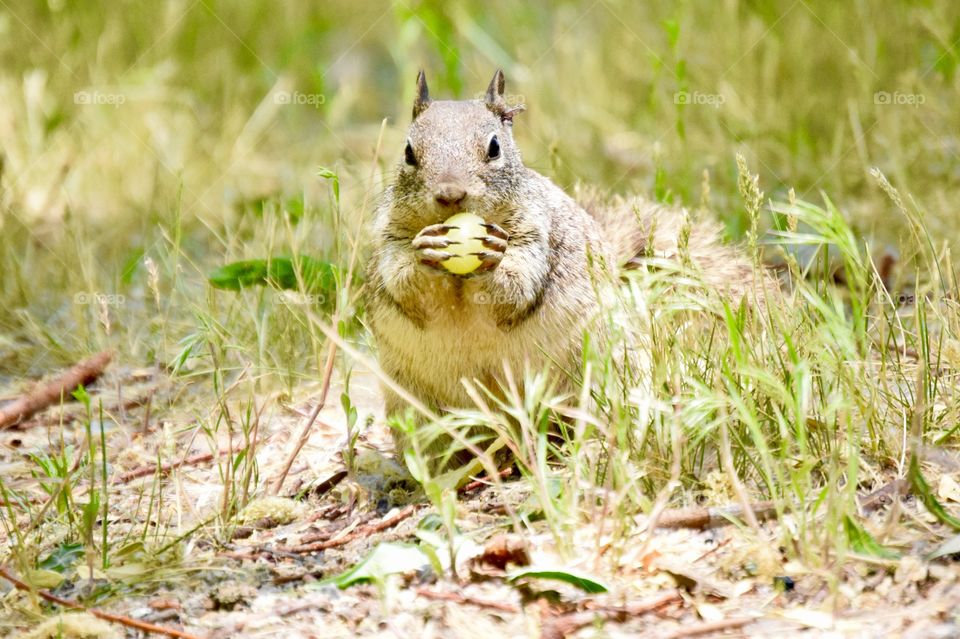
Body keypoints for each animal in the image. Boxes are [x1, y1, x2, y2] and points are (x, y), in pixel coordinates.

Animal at [366, 70, 762, 461]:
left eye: (494, 147)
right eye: (408, 152)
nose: (450, 194)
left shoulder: (537, 236)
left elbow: (516, 286)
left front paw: (494, 257)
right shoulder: (390, 241)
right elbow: (403, 284)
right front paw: (425, 251)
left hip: (602, 377)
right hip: (415, 407)